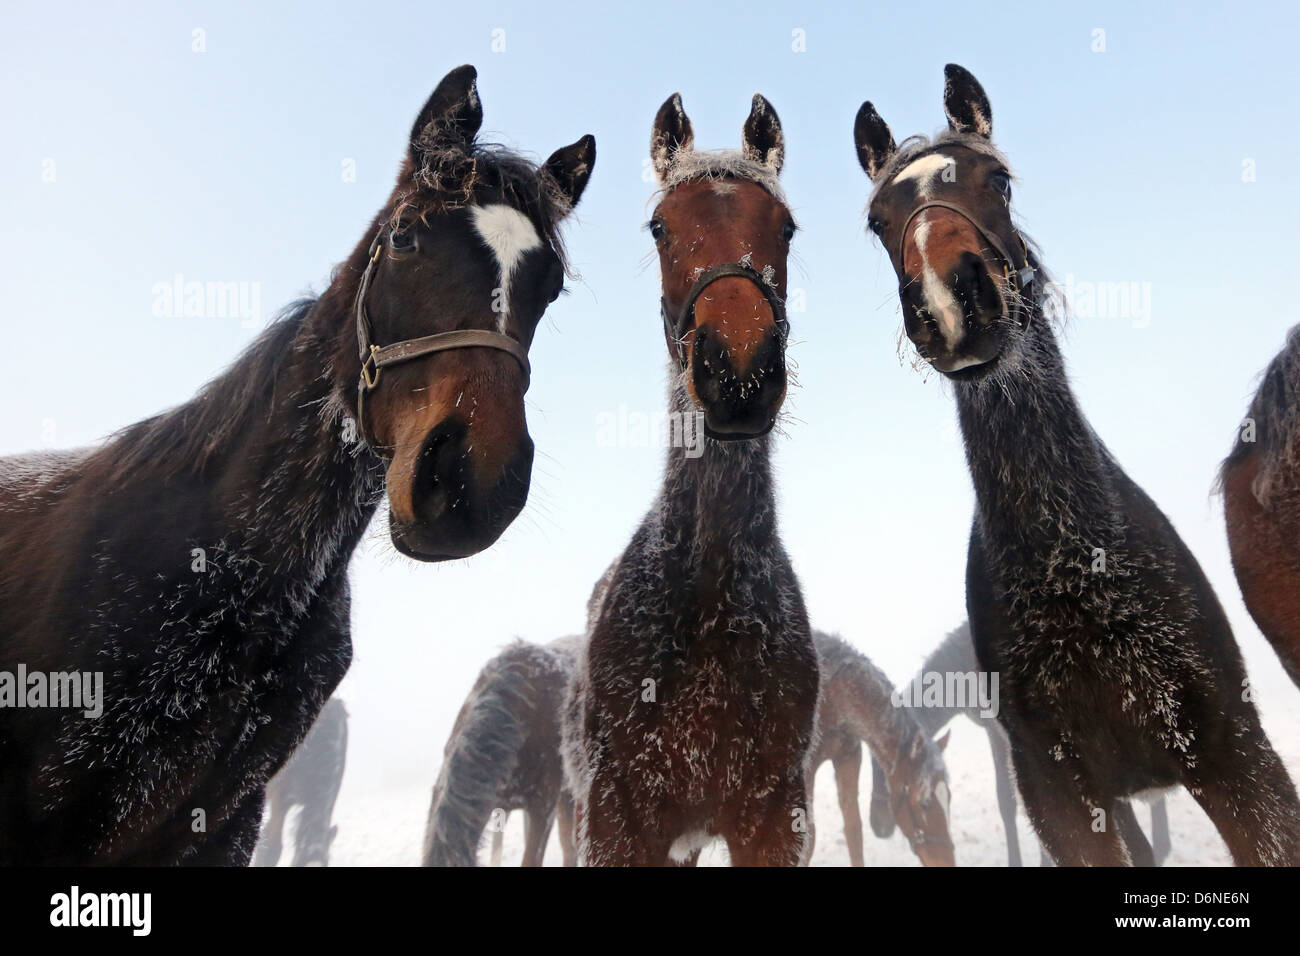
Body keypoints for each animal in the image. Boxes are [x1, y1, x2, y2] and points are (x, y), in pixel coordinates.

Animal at [806, 631, 954, 866]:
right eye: (924, 804)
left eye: (948, 797)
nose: (948, 862)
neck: (831, 697)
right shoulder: (806, 770)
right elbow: (808, 837)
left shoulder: (847, 758)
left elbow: (854, 831)